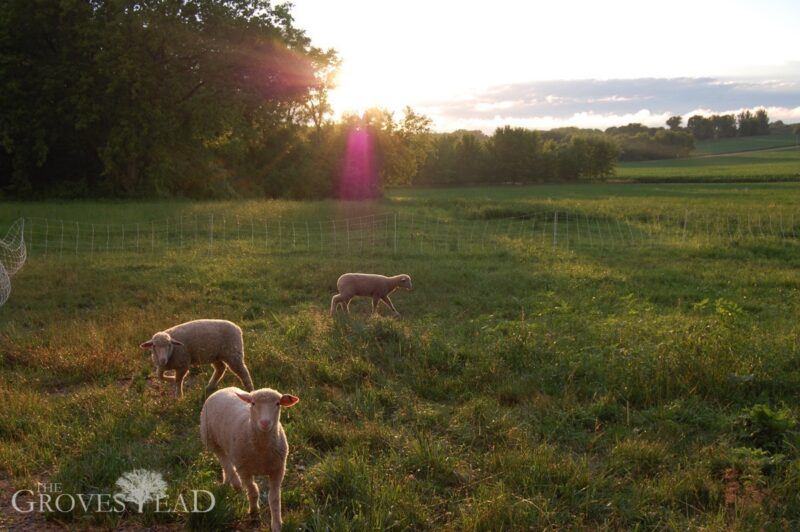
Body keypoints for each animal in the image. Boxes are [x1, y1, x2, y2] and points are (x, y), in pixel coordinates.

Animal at [200, 384, 300, 528]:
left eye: (277, 403)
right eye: (253, 403)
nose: (265, 422)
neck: (262, 452)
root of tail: (225, 388)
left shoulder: (278, 469)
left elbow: (274, 498)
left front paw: (276, 524)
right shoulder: (245, 470)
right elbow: (253, 491)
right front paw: (254, 513)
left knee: (226, 462)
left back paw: (227, 482)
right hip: (211, 439)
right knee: (224, 459)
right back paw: (235, 483)